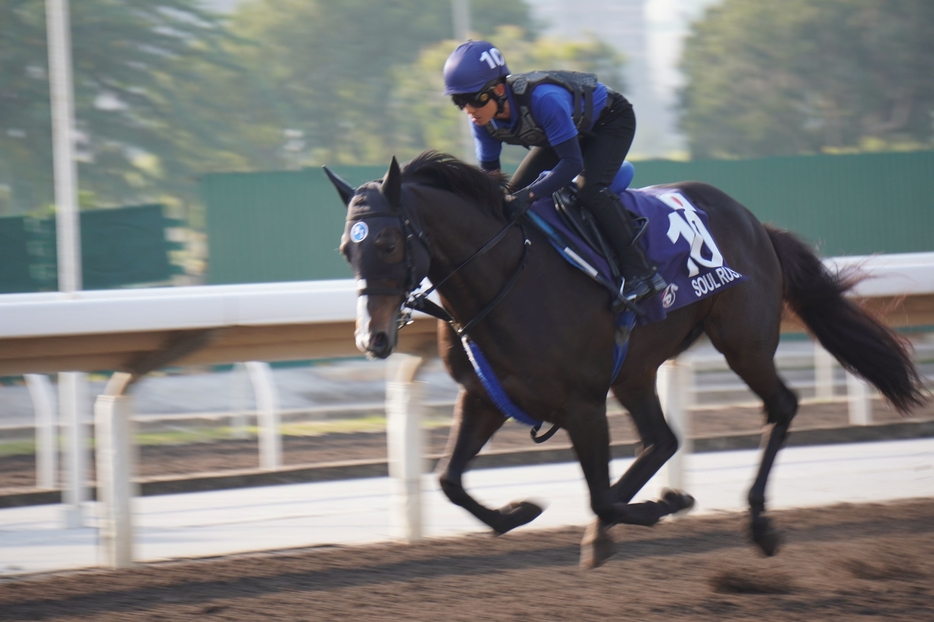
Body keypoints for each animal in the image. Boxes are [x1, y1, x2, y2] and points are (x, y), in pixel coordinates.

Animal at [324, 151, 928, 572]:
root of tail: (753, 221)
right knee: (662, 439)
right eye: (347, 249)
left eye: (389, 244)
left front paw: (661, 506)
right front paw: (520, 513)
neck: (504, 278)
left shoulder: (582, 404)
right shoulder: (484, 397)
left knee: (778, 407)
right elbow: (450, 479)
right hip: (637, 370)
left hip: (743, 341)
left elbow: (599, 496)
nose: (373, 337)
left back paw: (758, 524)